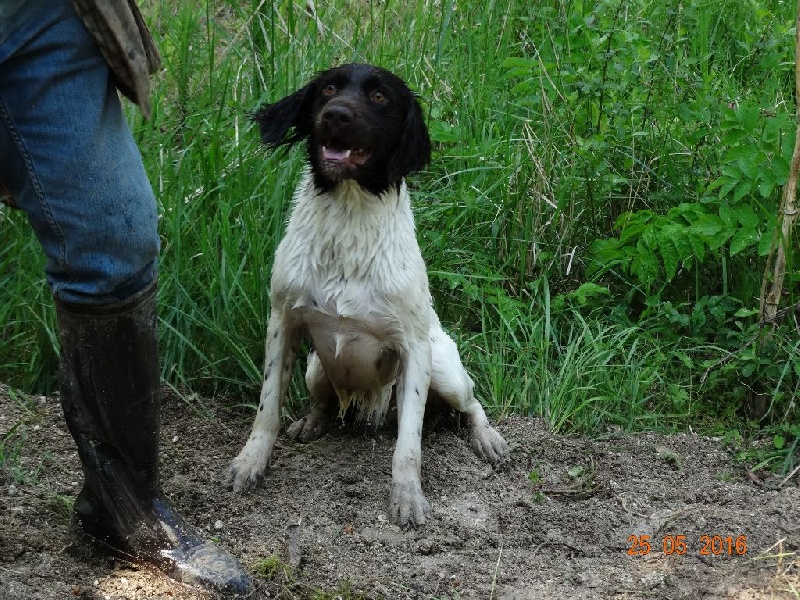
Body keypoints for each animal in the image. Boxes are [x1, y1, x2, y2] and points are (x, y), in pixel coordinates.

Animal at [227, 63, 506, 528]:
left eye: (379, 97)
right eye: (328, 88)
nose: (336, 115)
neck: (348, 215)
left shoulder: (414, 349)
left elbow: (408, 444)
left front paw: (407, 496)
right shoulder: (283, 322)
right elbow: (267, 409)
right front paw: (250, 463)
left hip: (445, 370)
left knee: (473, 405)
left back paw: (488, 439)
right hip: (314, 367)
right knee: (324, 402)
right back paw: (312, 422)